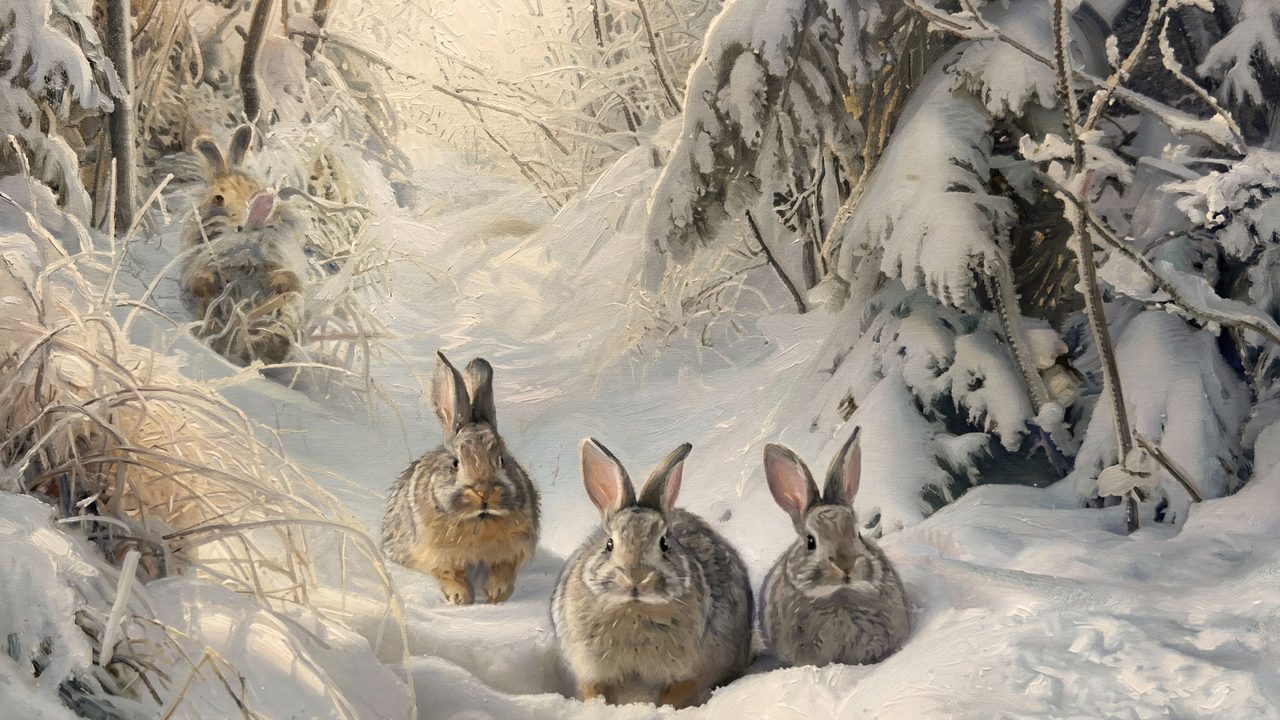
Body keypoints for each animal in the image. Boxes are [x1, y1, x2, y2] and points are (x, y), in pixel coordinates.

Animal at [382, 352, 540, 604]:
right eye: (455, 463)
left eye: (502, 459)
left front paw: (497, 594)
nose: (484, 492)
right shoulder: (435, 554)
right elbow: (448, 573)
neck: (478, 520)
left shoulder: (515, 549)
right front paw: (460, 597)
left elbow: (503, 568)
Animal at [552, 438, 752, 708]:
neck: (634, 610)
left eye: (664, 543)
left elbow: (673, 696)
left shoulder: (689, 672)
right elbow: (595, 693)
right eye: (609, 544)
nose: (636, 577)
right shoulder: (592, 670)